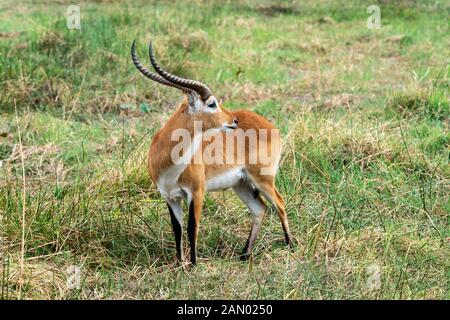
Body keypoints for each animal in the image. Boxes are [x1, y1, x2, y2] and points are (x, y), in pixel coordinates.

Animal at [131, 40, 292, 264]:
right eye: (212, 103)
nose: (234, 120)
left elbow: (192, 227)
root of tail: (270, 125)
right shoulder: (169, 197)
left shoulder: (197, 193)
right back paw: (244, 254)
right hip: (241, 184)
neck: (169, 164)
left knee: (280, 203)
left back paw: (290, 246)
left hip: (263, 179)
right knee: (260, 209)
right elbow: (177, 229)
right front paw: (180, 264)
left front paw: (193, 264)